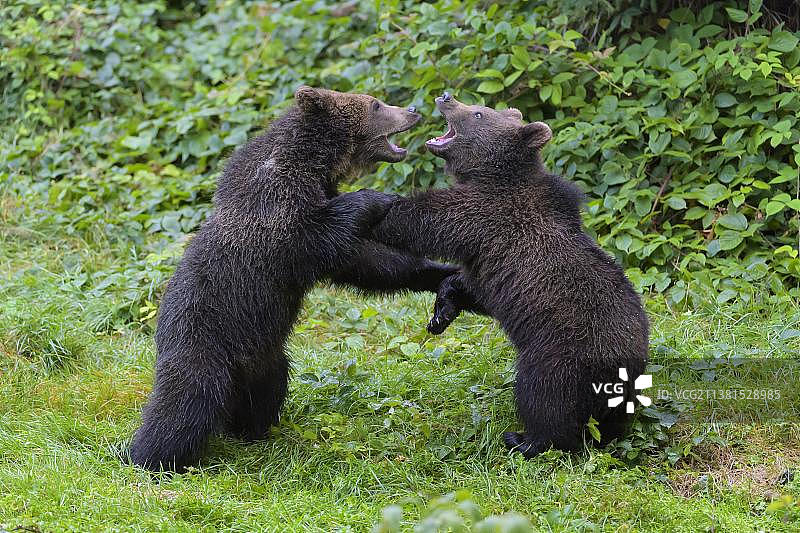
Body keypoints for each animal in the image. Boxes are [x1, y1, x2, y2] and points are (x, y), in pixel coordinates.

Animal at [129, 86, 458, 471]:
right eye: (376, 105)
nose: (413, 109)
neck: (314, 163)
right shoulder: (278, 213)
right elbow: (319, 234)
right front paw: (379, 197)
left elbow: (367, 261)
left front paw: (445, 278)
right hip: (203, 347)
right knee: (183, 407)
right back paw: (143, 457)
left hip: (265, 356)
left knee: (267, 390)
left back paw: (254, 431)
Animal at [371, 92, 649, 457]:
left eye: (478, 112)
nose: (446, 96)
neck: (491, 175)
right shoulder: (490, 262)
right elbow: (470, 288)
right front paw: (441, 312)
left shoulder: (481, 215)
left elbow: (421, 217)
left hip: (558, 354)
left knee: (545, 399)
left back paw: (524, 440)